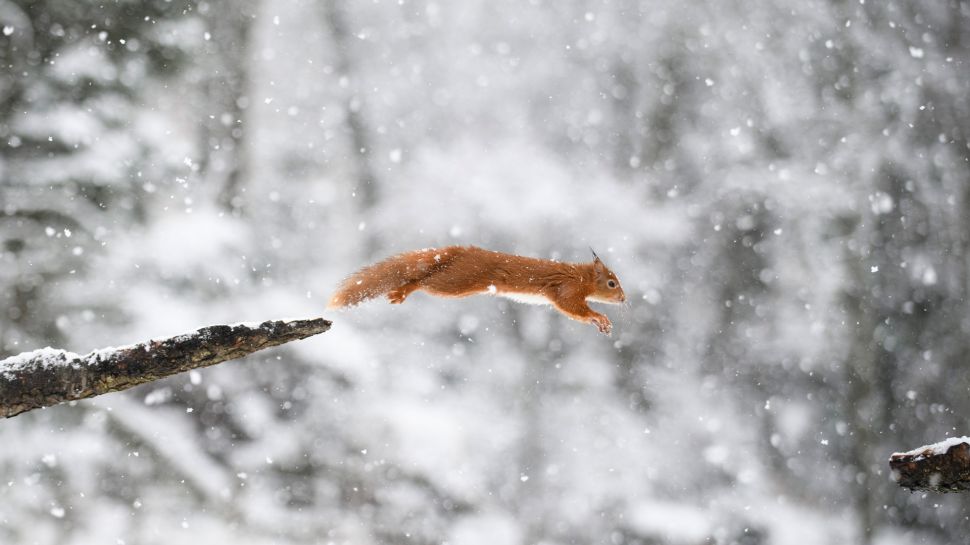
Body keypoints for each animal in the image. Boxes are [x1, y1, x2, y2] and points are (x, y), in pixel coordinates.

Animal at [328, 244, 628, 334]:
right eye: (612, 283)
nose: (625, 299)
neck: (583, 277)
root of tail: (460, 251)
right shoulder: (567, 289)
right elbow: (572, 307)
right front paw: (600, 318)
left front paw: (601, 323)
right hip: (456, 281)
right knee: (422, 281)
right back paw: (404, 290)